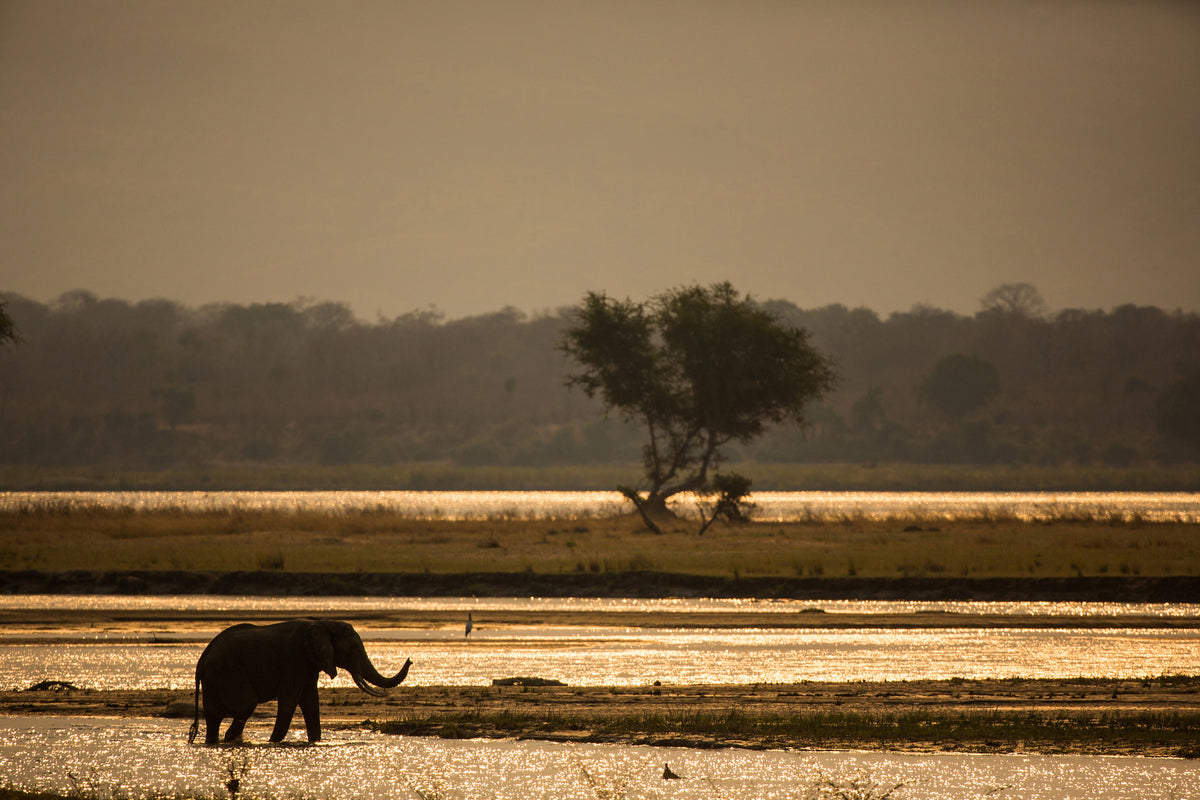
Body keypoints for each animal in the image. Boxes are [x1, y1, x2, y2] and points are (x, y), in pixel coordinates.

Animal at [186, 618, 412, 743]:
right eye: (353, 649)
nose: (410, 659)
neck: (322, 623)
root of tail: (201, 661)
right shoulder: (294, 660)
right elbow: (288, 702)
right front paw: (273, 743)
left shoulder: (308, 664)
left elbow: (311, 704)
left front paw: (315, 742)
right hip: (227, 672)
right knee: (246, 704)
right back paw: (228, 739)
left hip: (215, 678)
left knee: (214, 717)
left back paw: (217, 742)